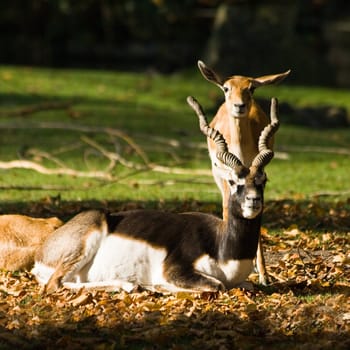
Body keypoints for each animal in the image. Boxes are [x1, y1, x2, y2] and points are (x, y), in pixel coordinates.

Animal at [31, 95, 280, 292]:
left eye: (263, 180)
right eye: (233, 181)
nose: (253, 200)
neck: (223, 247)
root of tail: (42, 253)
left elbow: (247, 284)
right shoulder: (175, 269)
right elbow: (217, 285)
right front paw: (160, 286)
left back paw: (128, 284)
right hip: (88, 234)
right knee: (54, 285)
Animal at [197, 60, 290, 284]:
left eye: (252, 88)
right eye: (226, 88)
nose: (239, 106)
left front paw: (264, 275)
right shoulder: (224, 177)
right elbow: (226, 208)